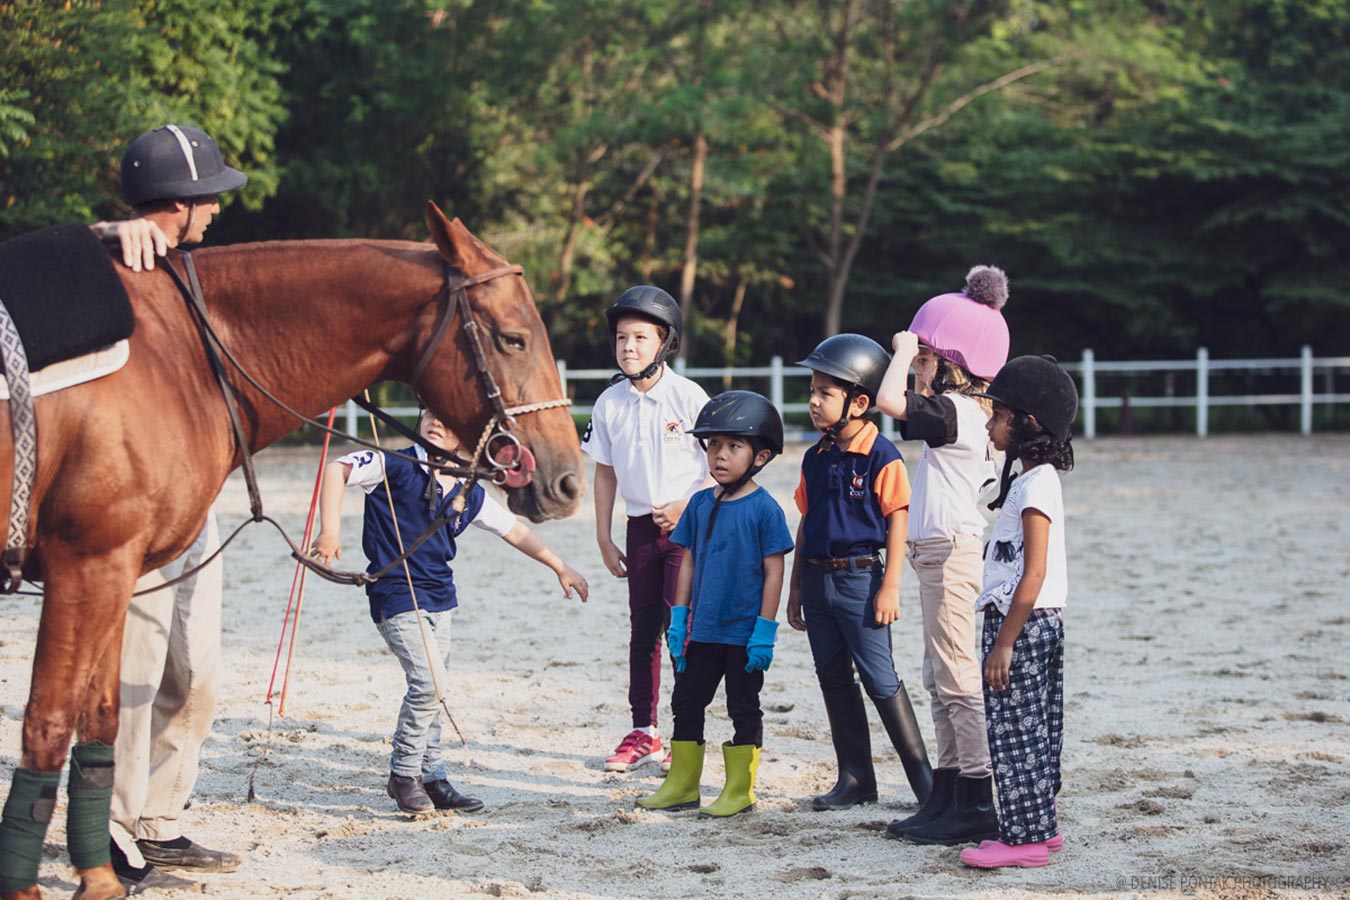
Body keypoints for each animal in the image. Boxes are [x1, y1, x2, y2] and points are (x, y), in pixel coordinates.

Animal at [0, 203, 575, 900]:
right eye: (513, 339)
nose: (568, 480)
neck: (183, 356)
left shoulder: (122, 573)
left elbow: (102, 718)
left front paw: (104, 875)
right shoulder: (89, 565)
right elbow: (49, 723)